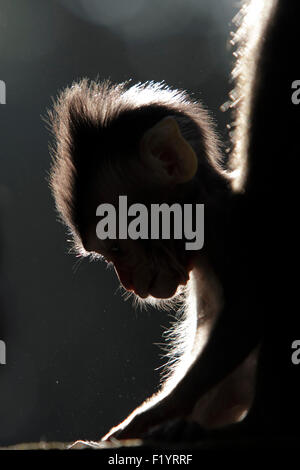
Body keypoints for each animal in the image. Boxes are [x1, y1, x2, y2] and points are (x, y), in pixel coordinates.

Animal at [48, 0, 300, 444]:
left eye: (118, 246)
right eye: (108, 255)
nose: (129, 283)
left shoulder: (224, 231)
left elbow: (248, 309)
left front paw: (149, 419)